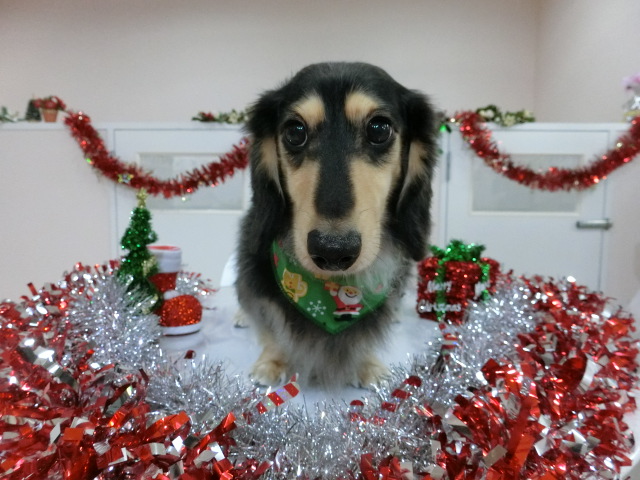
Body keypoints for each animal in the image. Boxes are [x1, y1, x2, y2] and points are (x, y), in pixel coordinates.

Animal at [235, 62, 437, 388]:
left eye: (379, 129)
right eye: (295, 132)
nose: (333, 251)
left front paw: (367, 365)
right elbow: (270, 327)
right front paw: (272, 361)